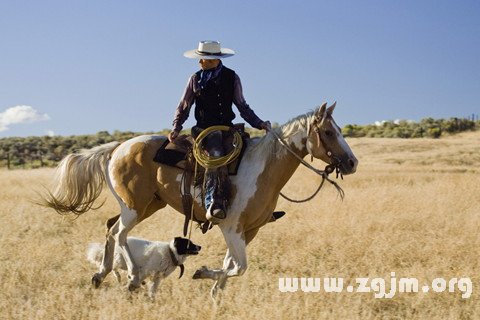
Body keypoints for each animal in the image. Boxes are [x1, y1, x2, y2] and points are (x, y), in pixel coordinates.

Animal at [42, 102, 356, 298]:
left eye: (340, 130)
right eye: (329, 132)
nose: (352, 163)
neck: (261, 167)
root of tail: (118, 147)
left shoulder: (249, 230)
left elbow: (231, 265)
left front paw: (216, 292)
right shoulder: (230, 226)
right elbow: (239, 266)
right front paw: (203, 275)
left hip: (147, 205)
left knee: (110, 228)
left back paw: (101, 274)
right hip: (134, 207)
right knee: (119, 233)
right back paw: (132, 277)